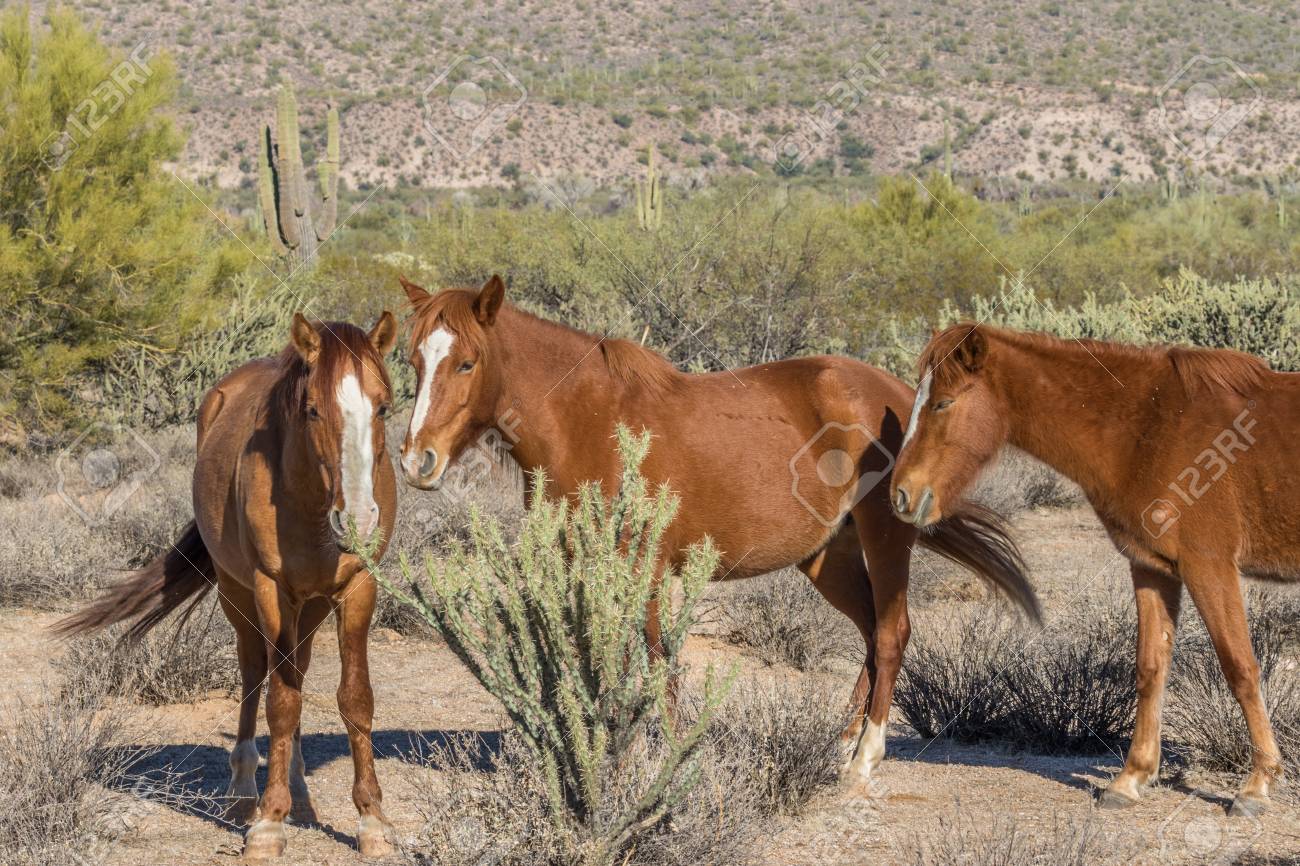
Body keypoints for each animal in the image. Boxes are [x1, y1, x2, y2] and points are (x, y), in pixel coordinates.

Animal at [56, 312, 400, 859]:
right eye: (312, 410)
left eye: (383, 406)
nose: (360, 522)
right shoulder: (271, 590)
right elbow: (280, 703)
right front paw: (268, 824)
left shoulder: (358, 588)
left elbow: (355, 699)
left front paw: (372, 821)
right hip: (238, 596)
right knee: (255, 674)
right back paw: (243, 793)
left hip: (310, 607)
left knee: (296, 671)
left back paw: (299, 791)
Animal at [394, 274, 1040, 789]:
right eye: (415, 363)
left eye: (468, 362)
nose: (416, 461)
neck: (589, 422)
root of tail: (902, 395)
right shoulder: (583, 564)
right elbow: (594, 658)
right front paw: (601, 752)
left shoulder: (643, 565)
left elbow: (655, 661)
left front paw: (667, 759)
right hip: (827, 558)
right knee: (870, 635)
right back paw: (840, 743)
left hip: (885, 540)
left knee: (891, 633)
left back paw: (864, 758)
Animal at [891, 322, 1293, 816]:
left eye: (944, 403)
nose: (901, 495)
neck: (1152, 423)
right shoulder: (1152, 568)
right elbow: (1150, 667)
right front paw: (1132, 777)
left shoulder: (1209, 566)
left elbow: (1240, 667)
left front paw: (1257, 784)